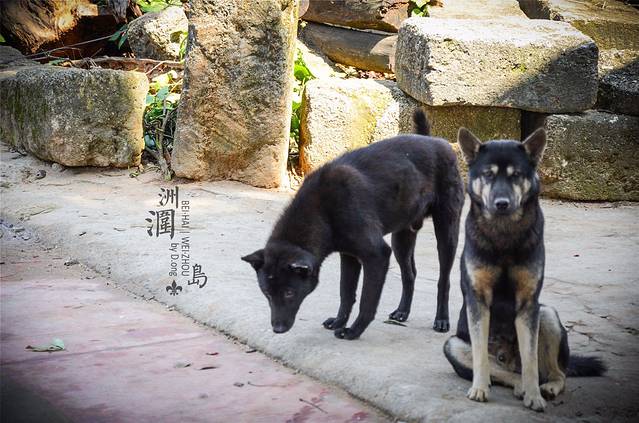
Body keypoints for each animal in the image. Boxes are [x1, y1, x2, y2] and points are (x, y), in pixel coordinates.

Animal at [242, 109, 464, 340]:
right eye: (267, 293)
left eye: (289, 293)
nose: (277, 329)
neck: (323, 209)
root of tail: (436, 141)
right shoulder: (349, 255)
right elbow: (346, 293)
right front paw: (339, 321)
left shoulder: (377, 255)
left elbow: (367, 300)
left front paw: (354, 330)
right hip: (402, 239)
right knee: (409, 274)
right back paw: (402, 312)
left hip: (447, 231)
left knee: (444, 280)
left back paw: (442, 320)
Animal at [446, 127, 553, 411]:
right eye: (488, 174)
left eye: (516, 175)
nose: (502, 203)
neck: (503, 234)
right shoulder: (479, 301)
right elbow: (480, 354)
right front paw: (479, 389)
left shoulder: (529, 304)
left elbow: (531, 361)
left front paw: (534, 396)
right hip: (453, 344)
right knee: (502, 372)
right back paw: (513, 385)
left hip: (547, 315)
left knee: (547, 371)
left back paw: (542, 387)